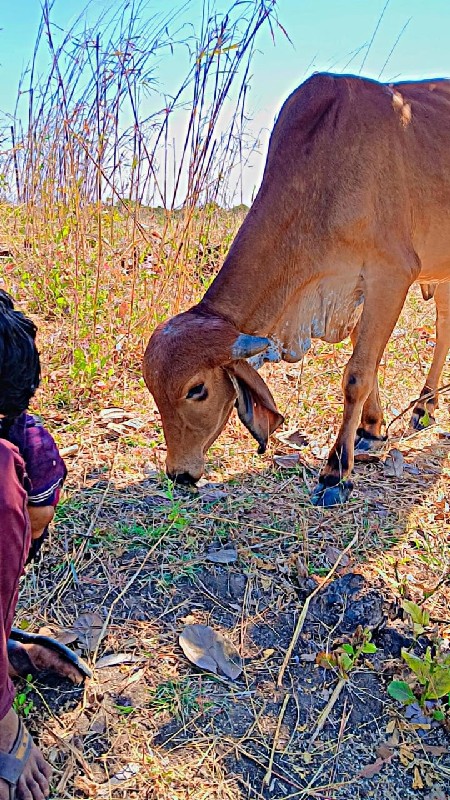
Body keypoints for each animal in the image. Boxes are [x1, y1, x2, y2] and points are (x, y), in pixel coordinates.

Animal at [143, 72, 450, 504]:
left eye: (196, 389)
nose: (179, 474)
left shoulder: (392, 275)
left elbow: (357, 374)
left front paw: (336, 472)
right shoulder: (351, 288)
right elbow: (366, 358)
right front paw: (371, 430)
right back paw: (425, 407)